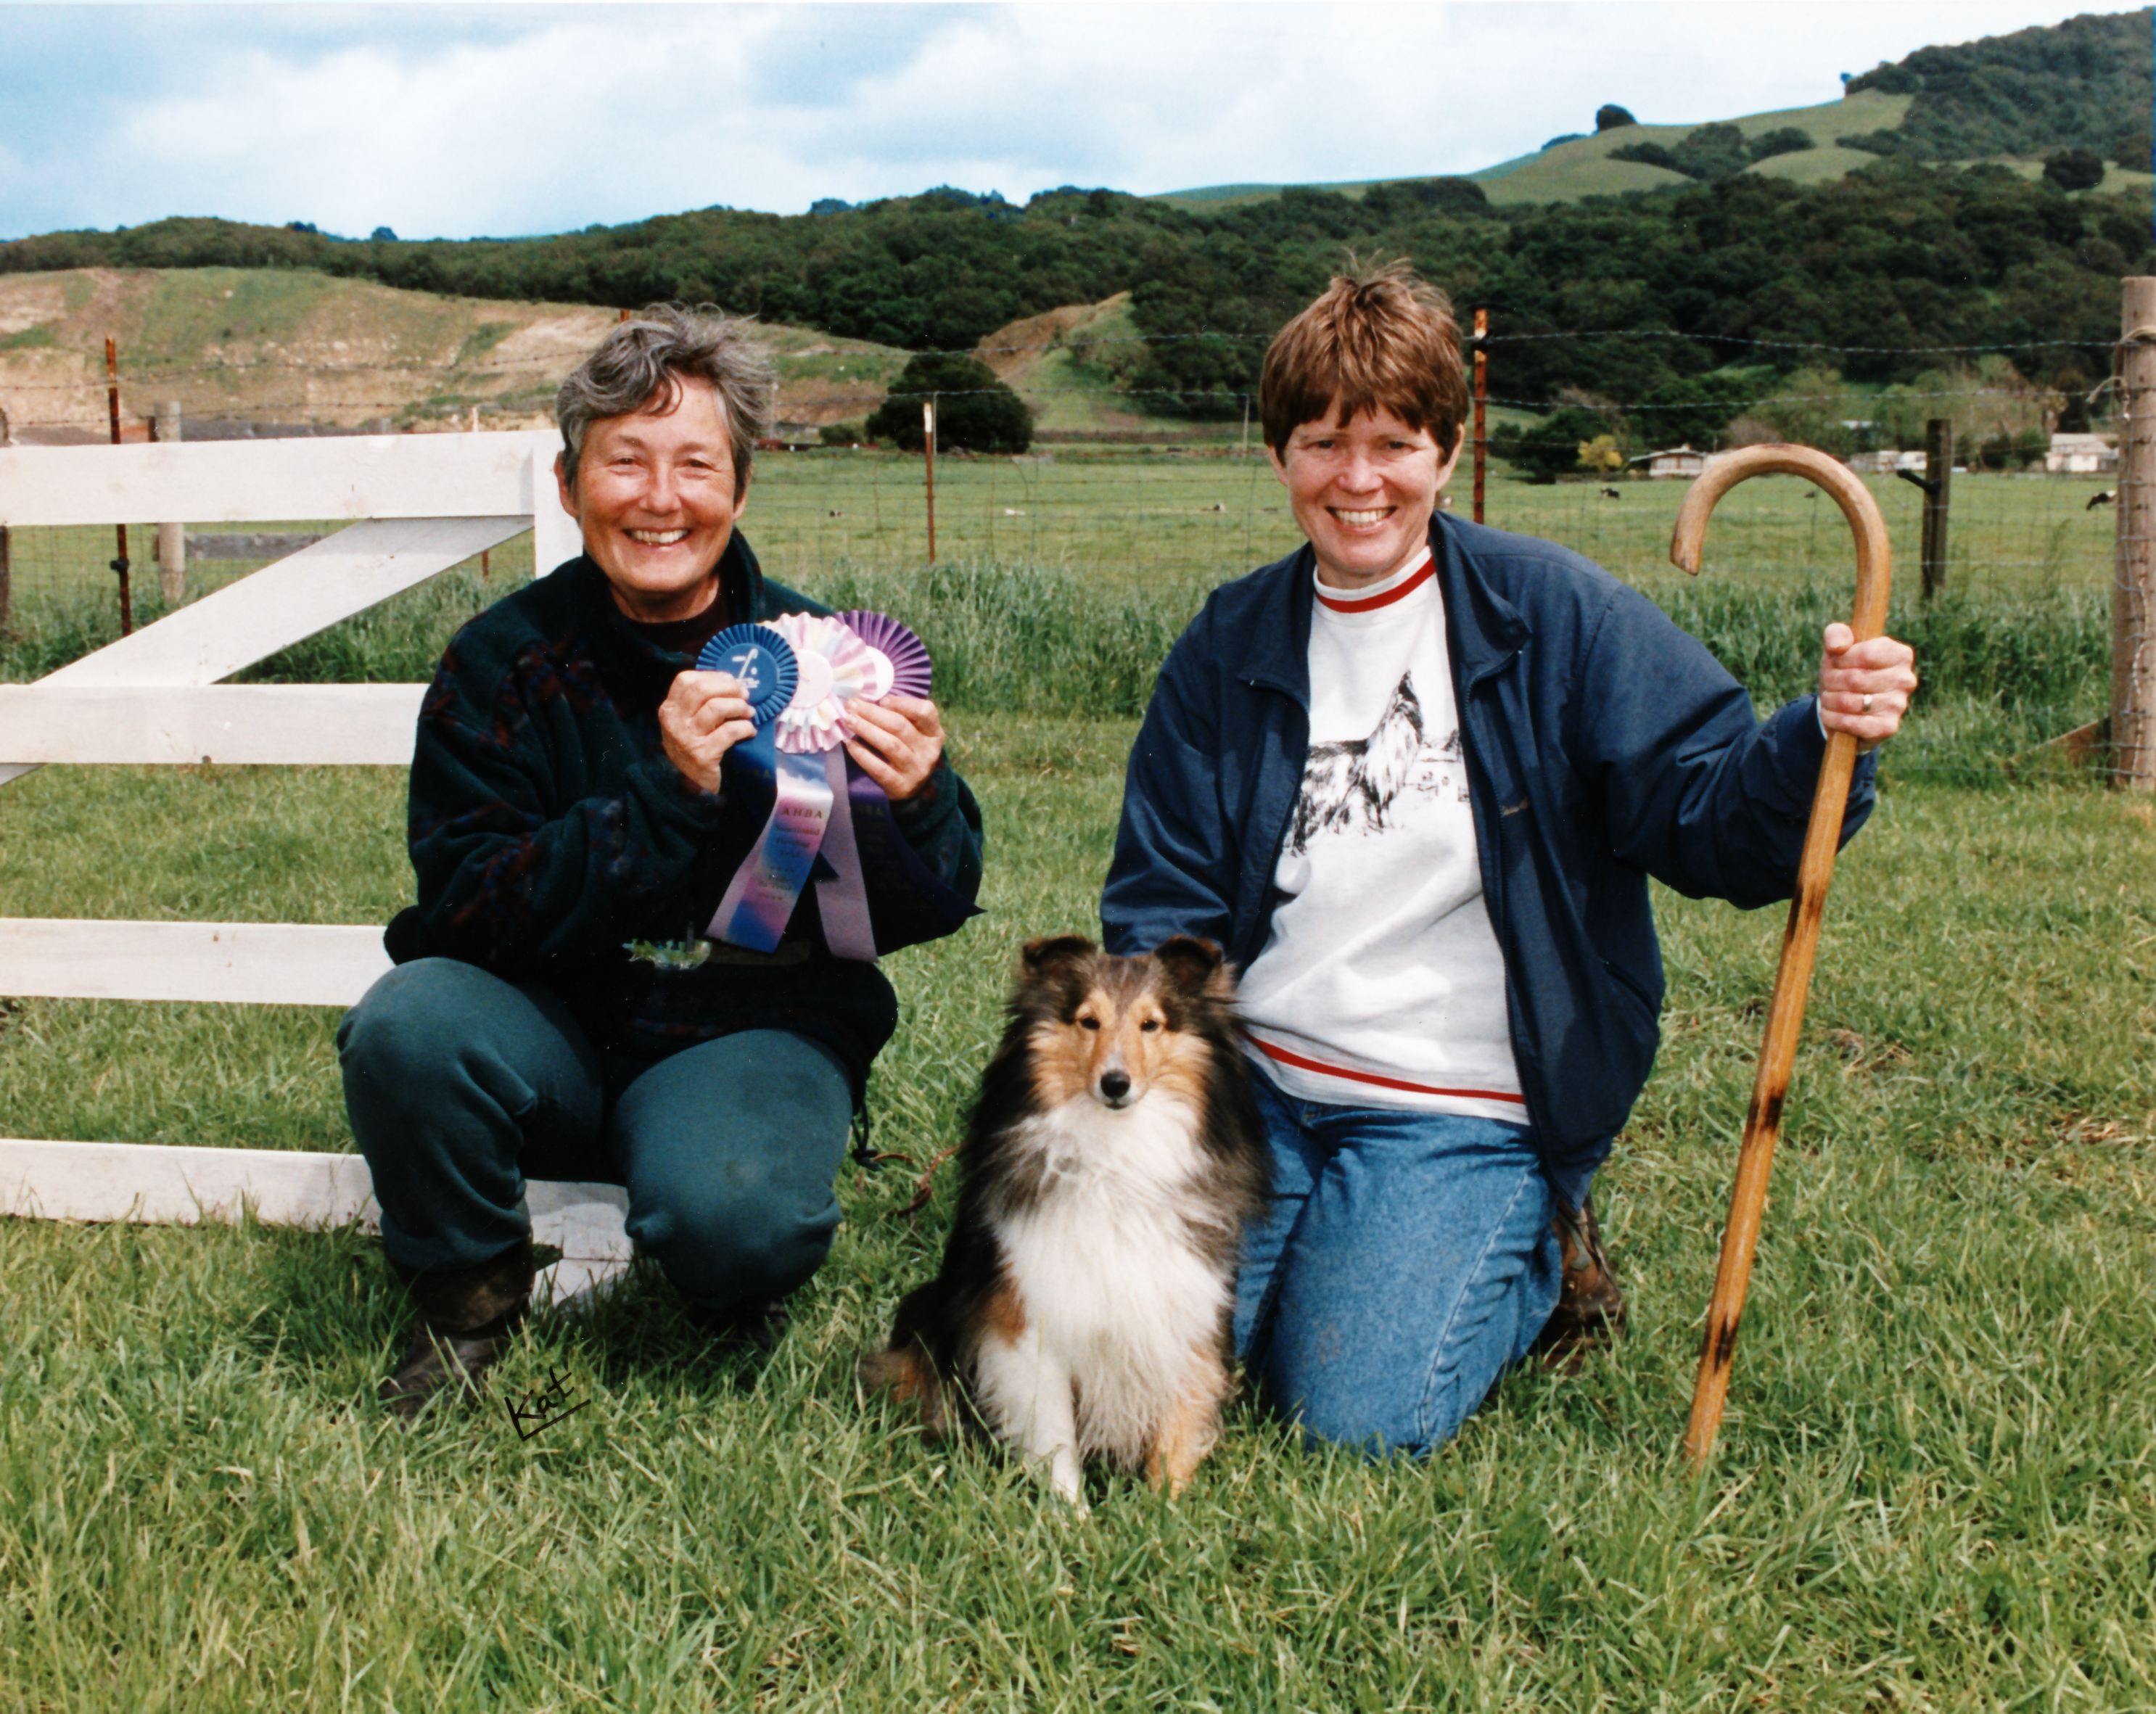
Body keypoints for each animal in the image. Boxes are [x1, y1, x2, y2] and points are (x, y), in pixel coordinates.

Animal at [853, 931, 1259, 1509]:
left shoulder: (1185, 1313)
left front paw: (1165, 1508)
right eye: (1088, 1021)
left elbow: (1177, 1425)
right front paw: (1071, 1515)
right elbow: (1053, 1432)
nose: (1116, 1083)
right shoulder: (1027, 1324)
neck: (1116, 1154)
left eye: (1151, 1023)